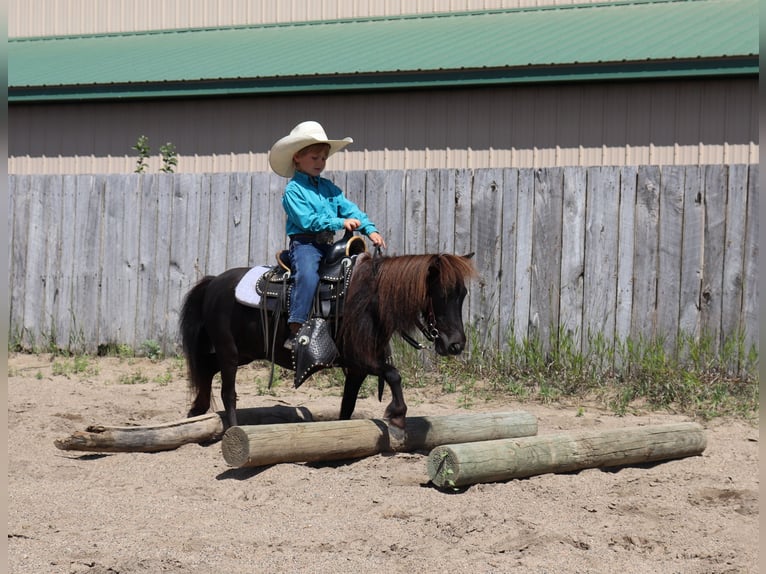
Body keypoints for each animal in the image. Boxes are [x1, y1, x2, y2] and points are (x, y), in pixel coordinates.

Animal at [182, 250, 476, 430]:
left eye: (462, 294)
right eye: (441, 294)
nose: (456, 344)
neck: (368, 299)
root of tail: (213, 283)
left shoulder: (357, 369)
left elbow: (348, 405)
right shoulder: (362, 359)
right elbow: (394, 374)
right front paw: (397, 417)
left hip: (244, 352)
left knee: (206, 372)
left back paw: (196, 411)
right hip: (229, 352)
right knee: (227, 392)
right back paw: (233, 430)